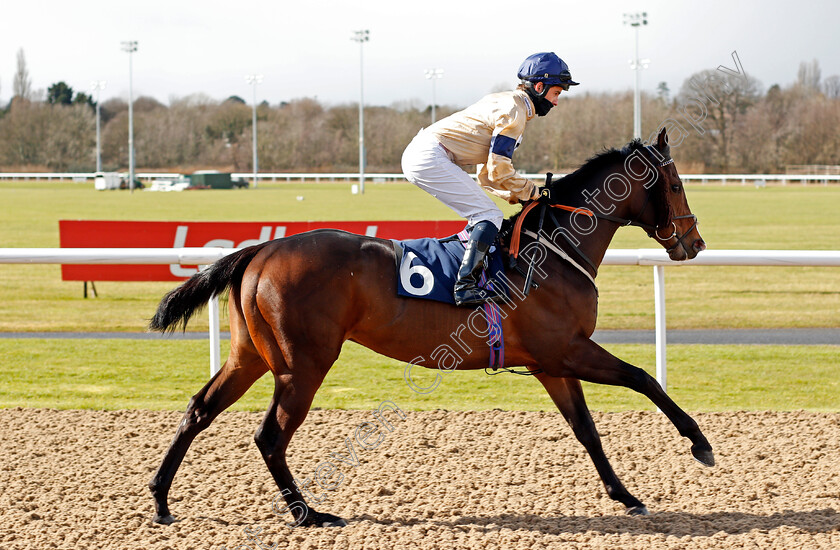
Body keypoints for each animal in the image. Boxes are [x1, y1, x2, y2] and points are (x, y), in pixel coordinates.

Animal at [149, 127, 708, 528]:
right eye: (677, 184)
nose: (694, 243)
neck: (552, 251)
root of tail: (263, 249)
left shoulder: (551, 363)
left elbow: (587, 429)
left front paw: (626, 495)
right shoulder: (568, 350)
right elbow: (644, 378)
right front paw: (700, 444)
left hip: (250, 355)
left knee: (199, 410)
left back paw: (160, 501)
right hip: (302, 364)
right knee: (270, 435)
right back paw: (308, 515)